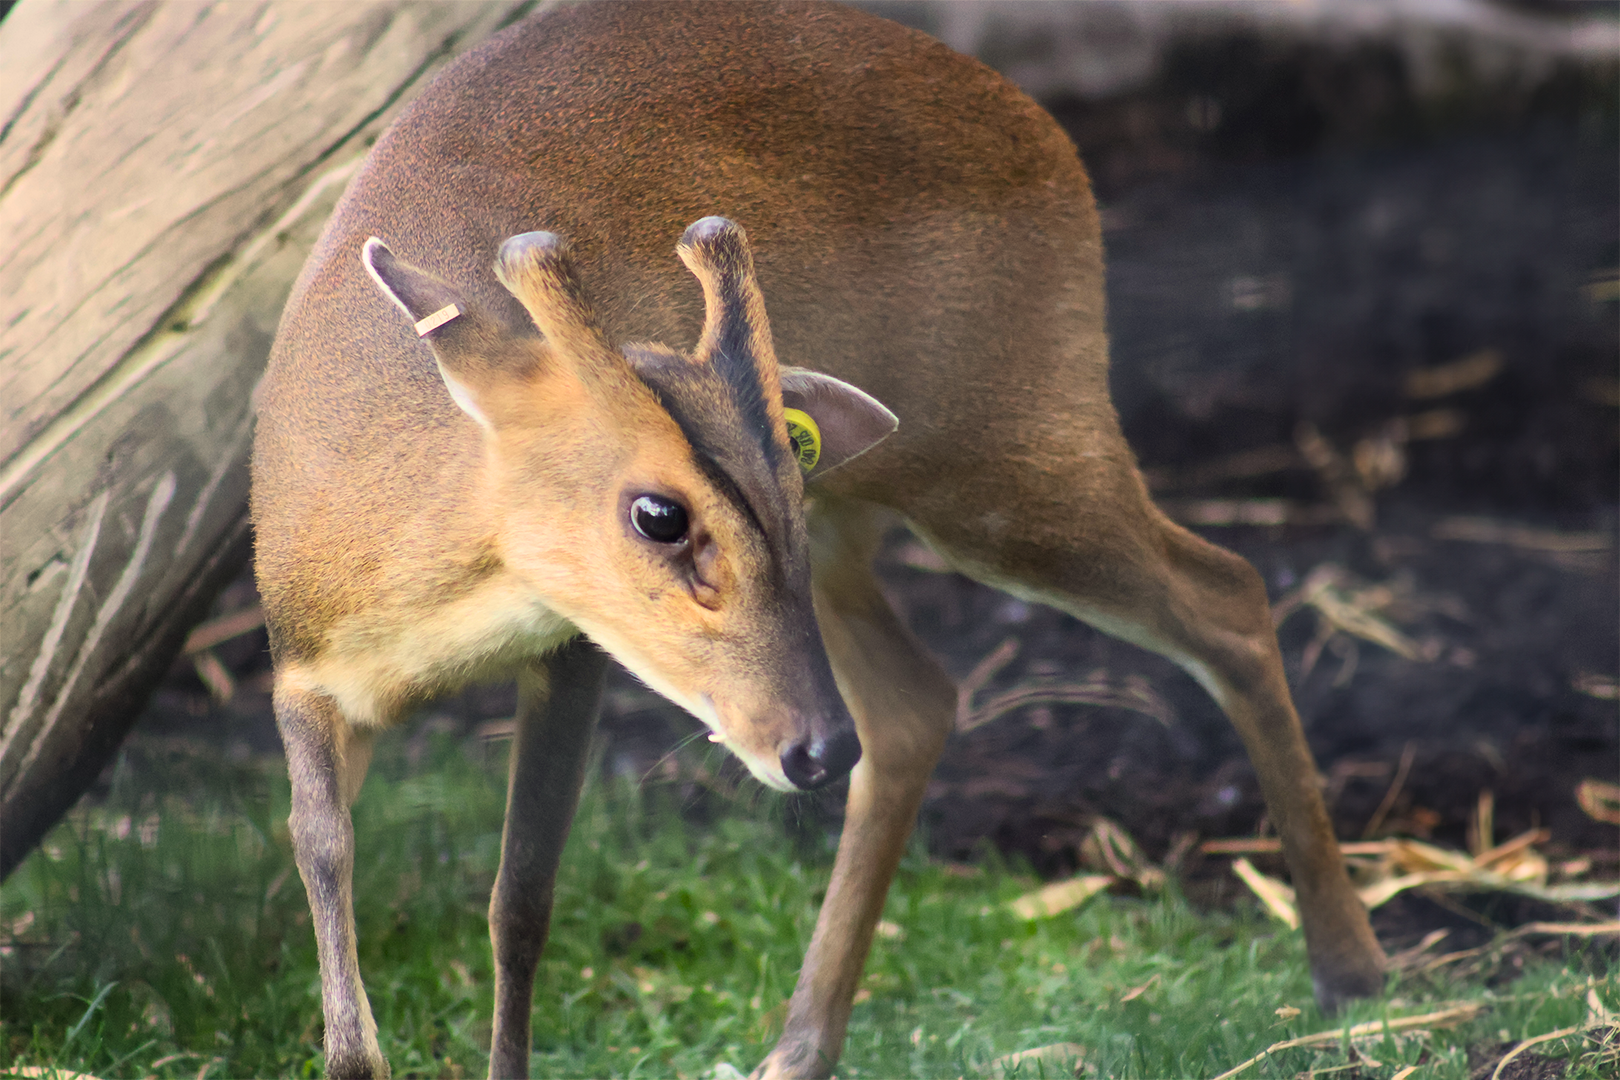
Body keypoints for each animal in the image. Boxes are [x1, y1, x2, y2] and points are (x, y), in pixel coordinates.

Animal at [249, 4, 1380, 1075]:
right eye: (658, 514)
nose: (812, 749)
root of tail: (1042, 125)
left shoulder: (573, 652)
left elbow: (521, 897)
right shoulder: (300, 666)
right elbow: (319, 851)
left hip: (1007, 446)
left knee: (1229, 591)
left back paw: (1351, 972)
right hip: (865, 527)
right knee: (918, 701)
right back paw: (797, 1046)